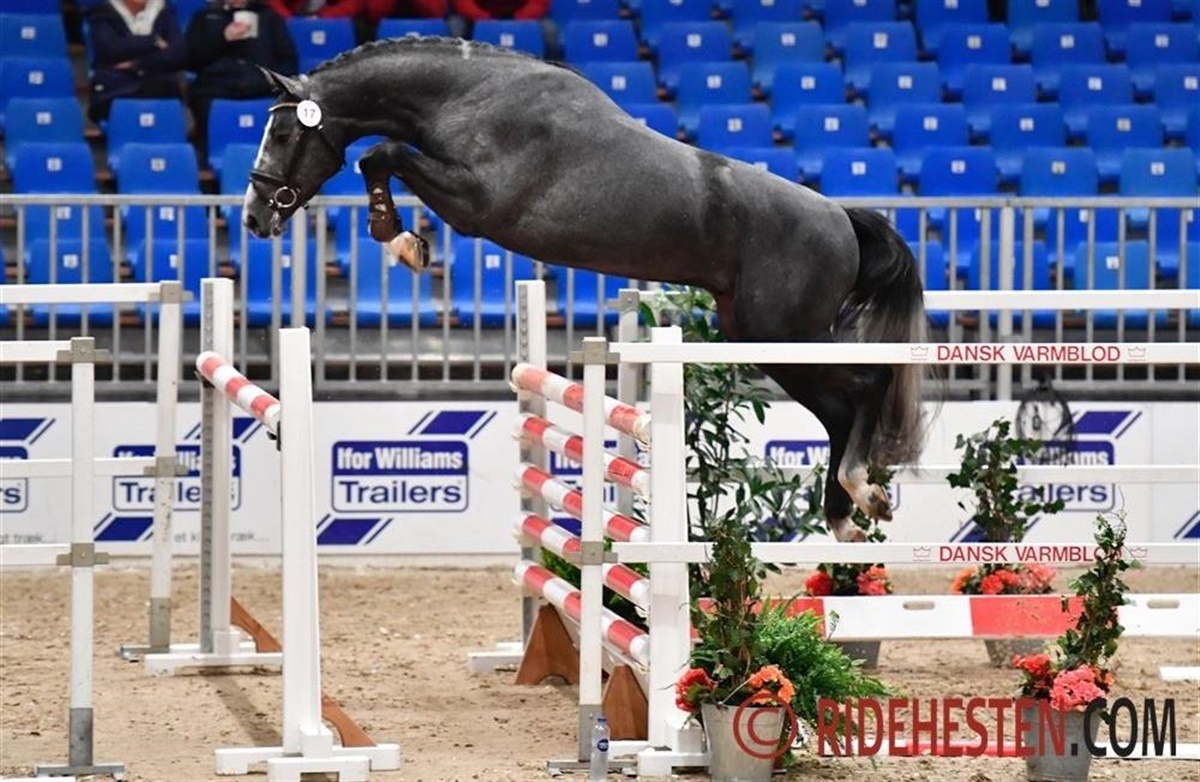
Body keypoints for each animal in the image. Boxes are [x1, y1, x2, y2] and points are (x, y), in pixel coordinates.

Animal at [241, 37, 928, 542]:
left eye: (283, 134)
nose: (253, 217)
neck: (471, 96)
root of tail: (840, 217)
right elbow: (381, 155)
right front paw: (402, 240)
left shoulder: (476, 203)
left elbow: (381, 152)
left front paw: (400, 239)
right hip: (761, 338)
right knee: (837, 409)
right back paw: (845, 515)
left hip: (785, 332)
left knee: (866, 385)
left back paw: (862, 491)